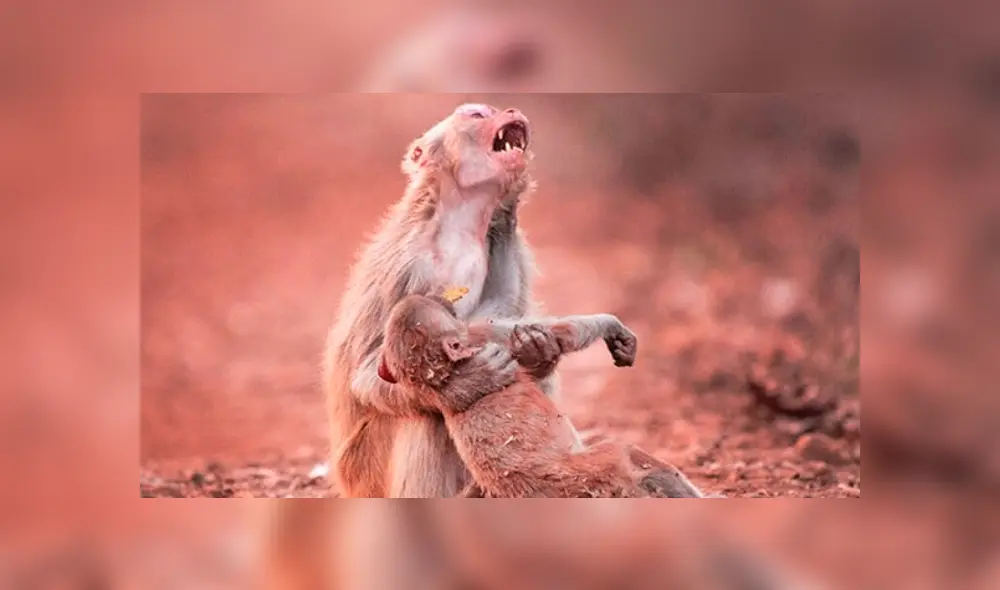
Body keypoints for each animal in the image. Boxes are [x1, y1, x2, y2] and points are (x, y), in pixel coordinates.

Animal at [376, 294, 706, 498]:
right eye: (434, 306)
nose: (442, 297)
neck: (445, 373)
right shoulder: (482, 335)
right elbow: (563, 331)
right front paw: (612, 325)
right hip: (594, 471)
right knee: (626, 452)